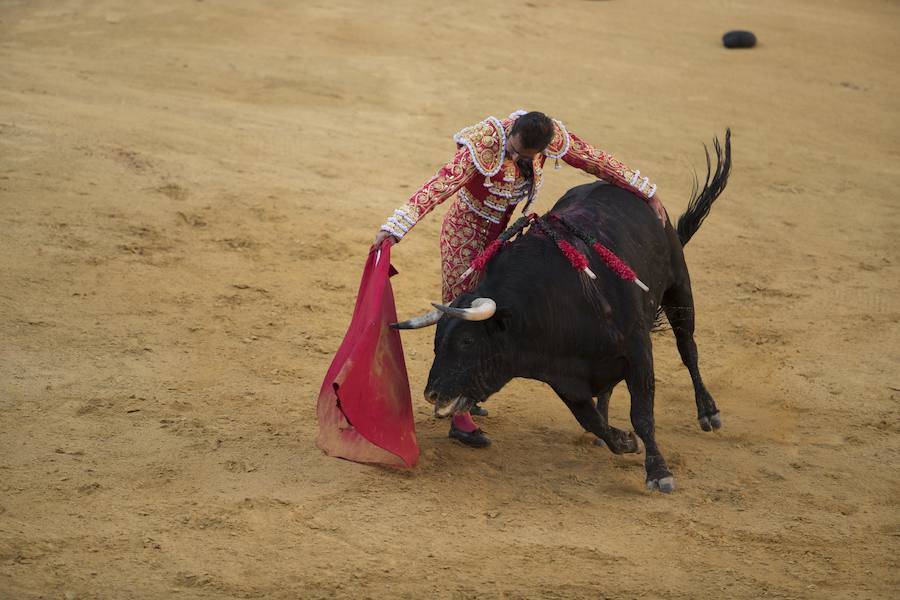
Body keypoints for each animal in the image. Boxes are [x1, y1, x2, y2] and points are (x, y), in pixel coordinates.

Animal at [394, 131, 732, 492]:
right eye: (436, 343)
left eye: (467, 342)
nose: (432, 393)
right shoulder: (562, 373)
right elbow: (592, 420)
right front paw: (623, 440)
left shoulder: (638, 349)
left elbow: (642, 413)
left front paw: (658, 473)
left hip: (678, 285)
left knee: (688, 348)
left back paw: (708, 413)